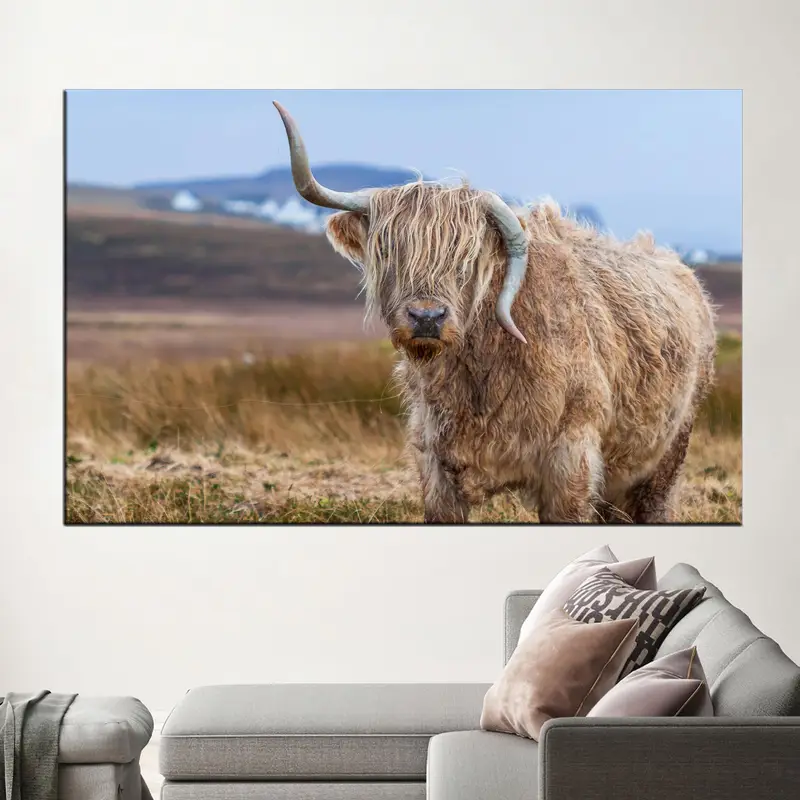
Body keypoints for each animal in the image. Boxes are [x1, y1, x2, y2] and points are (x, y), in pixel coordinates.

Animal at [273, 101, 717, 524]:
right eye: (389, 249)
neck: (480, 371)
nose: (427, 317)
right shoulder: (434, 461)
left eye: (468, 257)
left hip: (669, 451)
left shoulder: (571, 458)